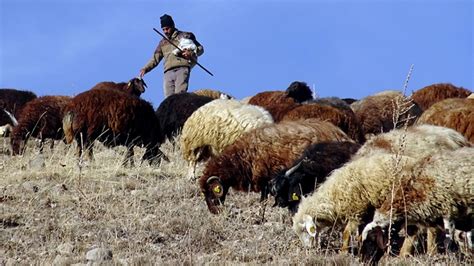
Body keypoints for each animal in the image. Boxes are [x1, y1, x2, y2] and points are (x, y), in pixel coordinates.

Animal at [197, 119, 352, 215]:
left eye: (211, 191)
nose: (214, 212)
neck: (241, 158)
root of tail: (340, 133)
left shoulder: (269, 179)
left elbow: (263, 202)